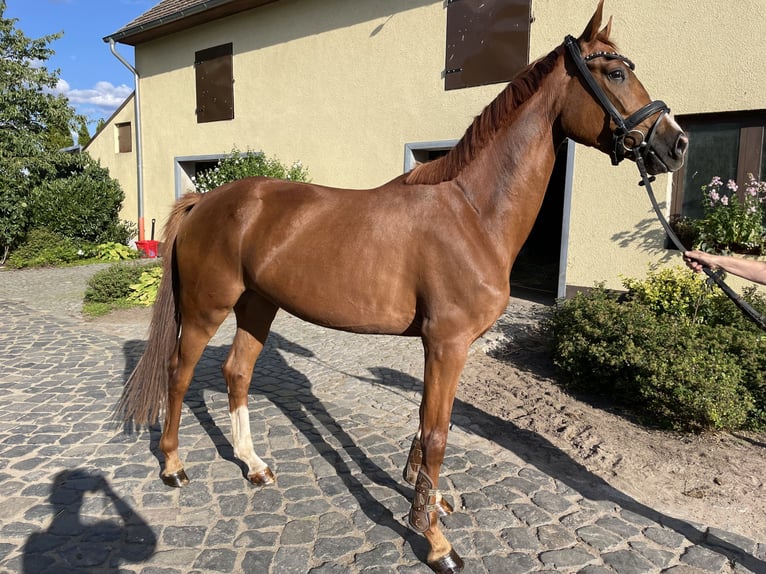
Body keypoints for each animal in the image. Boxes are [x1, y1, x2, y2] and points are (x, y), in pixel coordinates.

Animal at [117, 2, 687, 572]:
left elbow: (433, 421)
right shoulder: (447, 343)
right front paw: (434, 539)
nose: (675, 143)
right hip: (207, 308)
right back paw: (173, 465)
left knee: (237, 372)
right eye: (615, 73)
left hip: (258, 305)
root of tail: (206, 201)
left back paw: (253, 465)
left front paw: (427, 497)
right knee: (179, 373)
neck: (472, 213)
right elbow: (436, 433)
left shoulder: (447, 346)